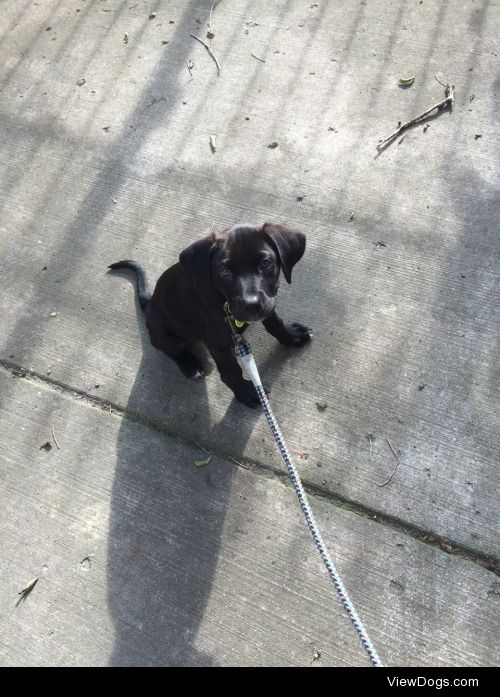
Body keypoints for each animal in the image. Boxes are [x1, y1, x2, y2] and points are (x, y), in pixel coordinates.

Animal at [109, 223, 310, 408]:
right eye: (224, 272)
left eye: (265, 263)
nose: (251, 304)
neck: (223, 300)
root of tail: (150, 303)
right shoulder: (217, 343)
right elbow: (231, 371)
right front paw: (247, 392)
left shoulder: (268, 304)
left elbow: (275, 323)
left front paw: (291, 336)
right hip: (165, 335)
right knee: (168, 349)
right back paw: (189, 364)